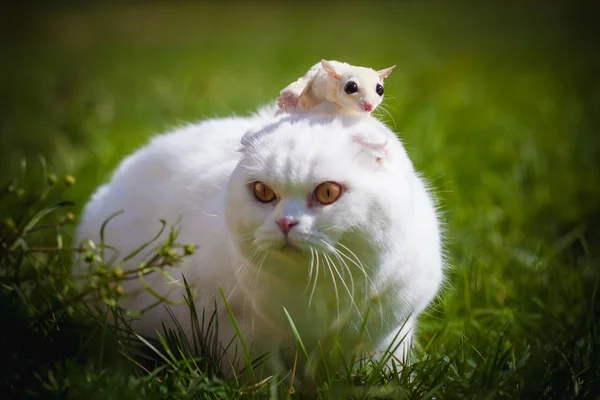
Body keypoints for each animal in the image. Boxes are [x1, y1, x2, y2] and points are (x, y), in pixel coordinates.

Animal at [74, 104, 440, 382]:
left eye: (327, 192)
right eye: (263, 192)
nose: (286, 223)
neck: (316, 285)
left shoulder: (387, 333)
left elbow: (377, 369)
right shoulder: (235, 329)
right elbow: (261, 374)